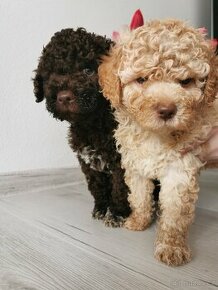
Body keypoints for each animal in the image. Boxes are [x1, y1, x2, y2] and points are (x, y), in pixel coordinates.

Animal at [32, 27, 132, 227]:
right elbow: (97, 186)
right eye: (52, 74)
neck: (92, 124)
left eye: (88, 70)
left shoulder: (121, 161)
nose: (63, 97)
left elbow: (120, 188)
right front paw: (101, 208)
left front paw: (117, 214)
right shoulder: (87, 161)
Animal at [99, 19, 218, 266]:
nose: (166, 110)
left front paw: (172, 247)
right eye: (141, 80)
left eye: (186, 81)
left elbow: (174, 214)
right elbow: (139, 196)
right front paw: (139, 221)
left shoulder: (180, 170)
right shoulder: (135, 165)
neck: (155, 135)